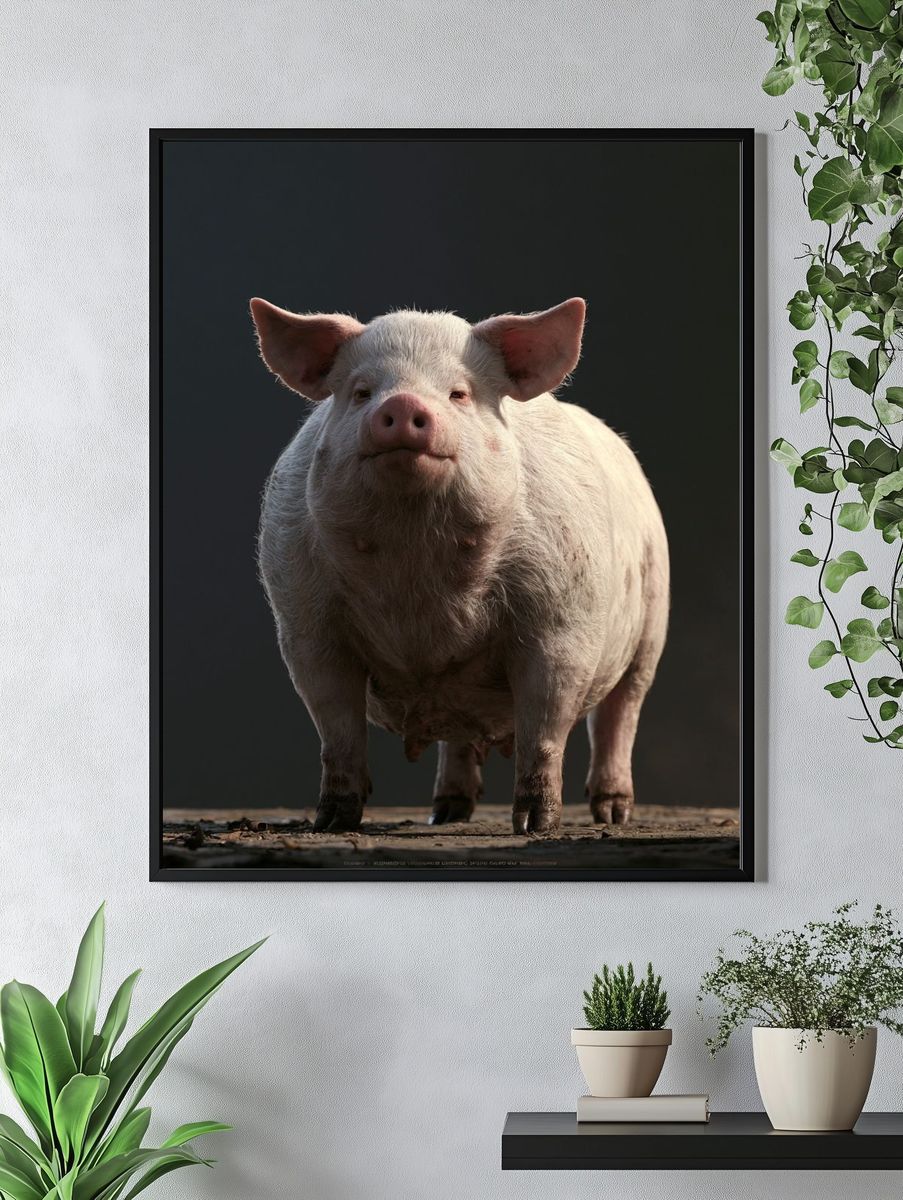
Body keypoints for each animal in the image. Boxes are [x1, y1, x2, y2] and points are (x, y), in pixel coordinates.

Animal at [250, 296, 669, 835]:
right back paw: (446, 813)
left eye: (459, 394)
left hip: (652, 626)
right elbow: (337, 730)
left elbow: (544, 731)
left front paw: (535, 826)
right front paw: (331, 823)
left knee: (621, 713)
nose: (403, 404)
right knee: (456, 736)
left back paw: (612, 814)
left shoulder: (561, 627)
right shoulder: (306, 628)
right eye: (361, 392)